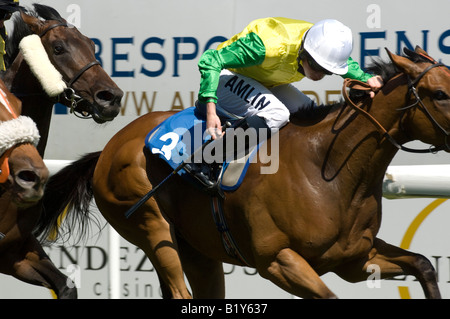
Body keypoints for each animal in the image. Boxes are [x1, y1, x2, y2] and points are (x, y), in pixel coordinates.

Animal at [40, 48, 448, 300]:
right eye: (441, 94)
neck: (329, 171)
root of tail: (107, 150)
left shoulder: (355, 260)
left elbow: (425, 264)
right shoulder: (277, 261)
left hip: (198, 250)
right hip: (152, 228)